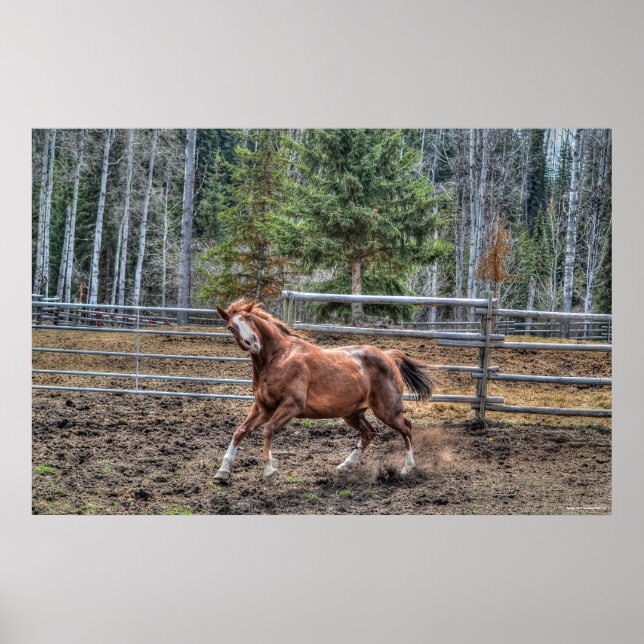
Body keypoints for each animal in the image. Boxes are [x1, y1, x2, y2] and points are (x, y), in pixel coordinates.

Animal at [213, 298, 436, 483]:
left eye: (249, 318)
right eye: (231, 326)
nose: (252, 342)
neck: (278, 358)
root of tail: (388, 356)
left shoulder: (291, 405)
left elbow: (268, 430)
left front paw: (269, 471)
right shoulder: (263, 407)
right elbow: (239, 431)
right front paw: (222, 472)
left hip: (387, 412)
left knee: (406, 428)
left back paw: (407, 469)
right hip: (352, 413)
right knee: (369, 433)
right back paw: (345, 466)